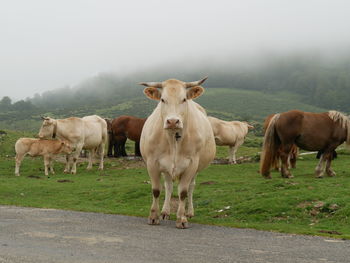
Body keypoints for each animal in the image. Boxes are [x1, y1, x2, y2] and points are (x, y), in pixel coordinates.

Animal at [139, 76, 216, 229]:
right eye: (162, 99)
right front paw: (154, 216)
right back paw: (165, 212)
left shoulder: (191, 164)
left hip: (196, 168)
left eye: (184, 99)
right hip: (166, 169)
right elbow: (156, 190)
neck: (173, 138)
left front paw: (182, 218)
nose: (173, 121)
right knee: (168, 186)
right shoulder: (152, 163)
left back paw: (190, 212)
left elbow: (183, 192)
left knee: (191, 187)